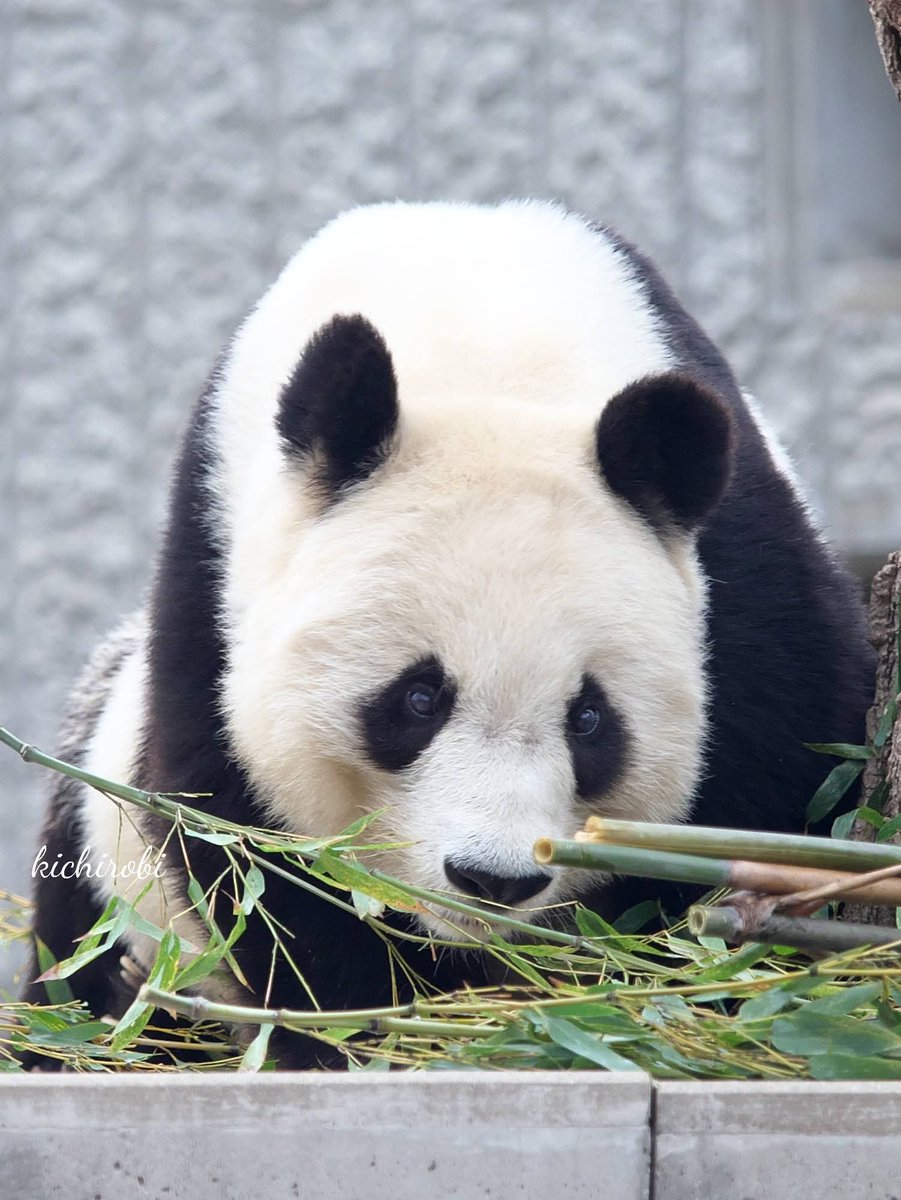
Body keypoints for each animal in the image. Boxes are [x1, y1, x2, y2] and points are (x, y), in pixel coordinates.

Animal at [25, 199, 873, 1068]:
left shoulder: (742, 572)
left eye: (589, 719)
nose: (493, 879)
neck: (479, 352)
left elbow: (771, 774)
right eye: (418, 698)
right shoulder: (213, 566)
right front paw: (377, 1022)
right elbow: (242, 835)